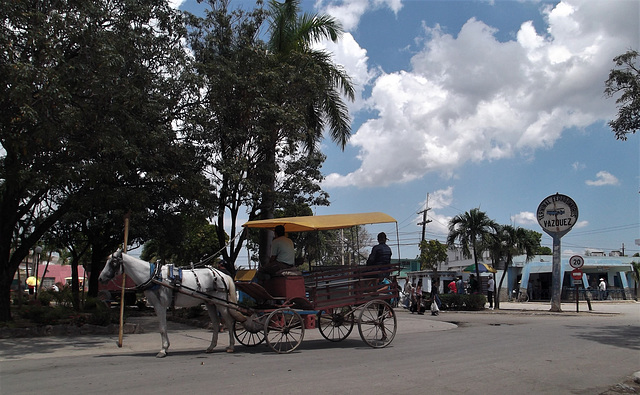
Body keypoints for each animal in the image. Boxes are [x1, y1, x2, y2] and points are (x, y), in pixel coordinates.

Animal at [99, 251, 245, 358]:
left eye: (113, 262)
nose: (100, 278)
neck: (154, 276)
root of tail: (222, 275)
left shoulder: (161, 305)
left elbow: (162, 328)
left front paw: (163, 350)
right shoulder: (156, 305)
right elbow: (162, 327)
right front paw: (165, 348)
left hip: (221, 302)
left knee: (228, 321)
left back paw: (231, 346)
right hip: (210, 303)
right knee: (215, 323)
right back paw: (211, 347)